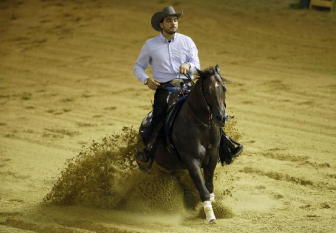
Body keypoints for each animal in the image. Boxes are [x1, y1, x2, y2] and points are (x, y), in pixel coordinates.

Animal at [138, 65, 227, 222]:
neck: (201, 125)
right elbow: (203, 189)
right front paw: (210, 217)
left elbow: (209, 187)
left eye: (223, 88)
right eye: (208, 91)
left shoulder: (212, 157)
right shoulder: (191, 160)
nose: (220, 117)